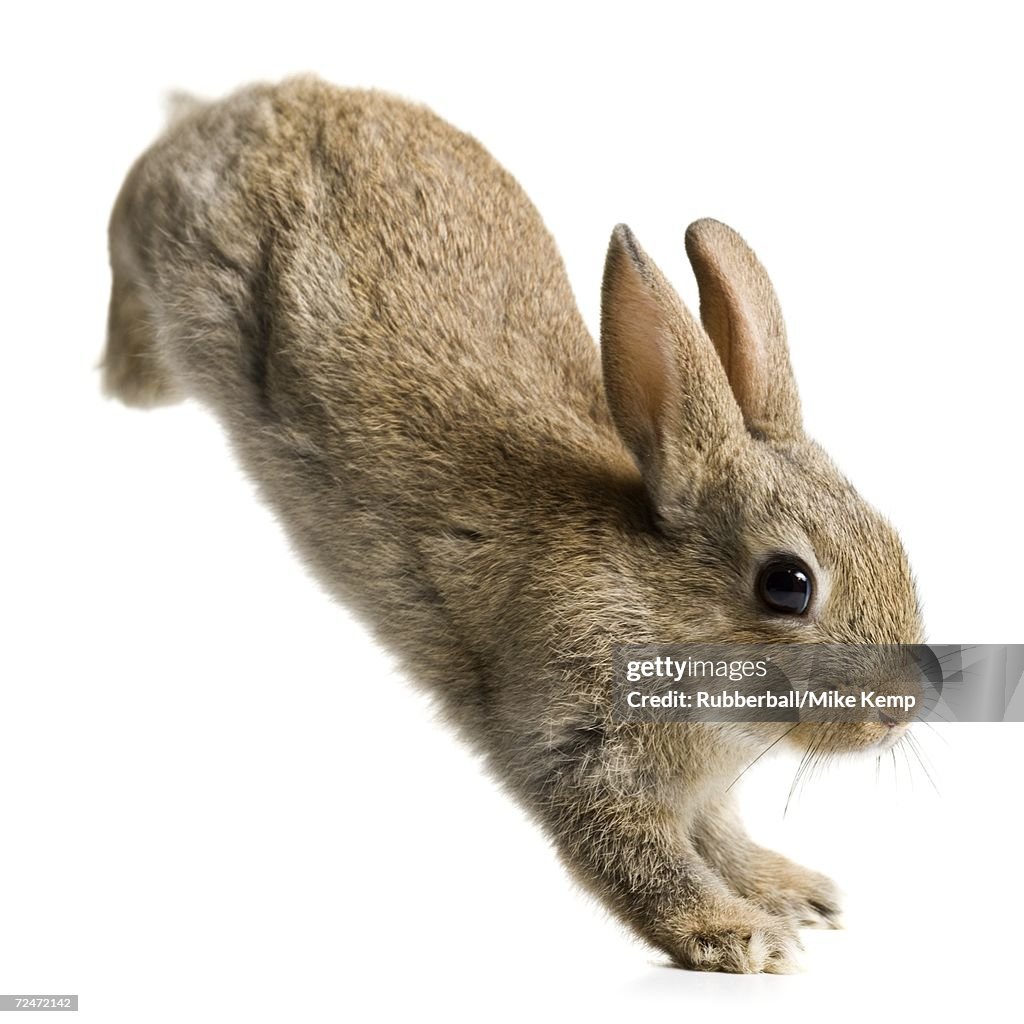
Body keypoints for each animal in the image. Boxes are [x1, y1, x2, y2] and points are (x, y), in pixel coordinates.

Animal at [101, 75, 923, 973]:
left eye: (893, 539)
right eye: (787, 584)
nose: (905, 707)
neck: (655, 594)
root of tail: (228, 106)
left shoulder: (697, 790)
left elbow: (719, 836)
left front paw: (793, 893)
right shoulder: (577, 747)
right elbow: (643, 862)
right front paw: (737, 938)